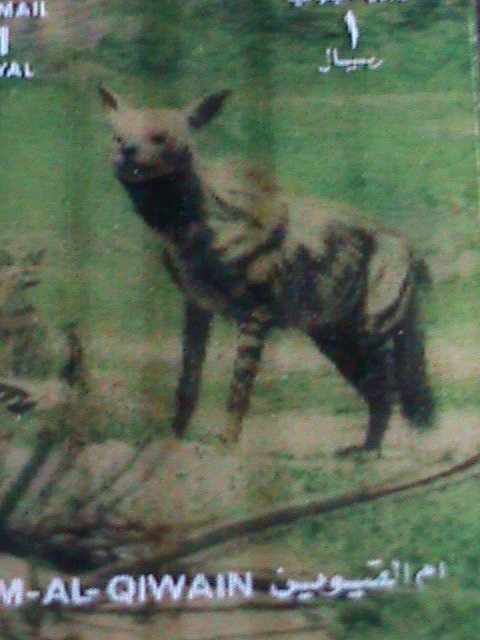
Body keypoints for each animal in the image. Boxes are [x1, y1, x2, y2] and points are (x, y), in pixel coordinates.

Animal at [99, 86, 435, 453]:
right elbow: (188, 381)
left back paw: (370, 451)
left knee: (386, 388)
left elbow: (239, 388)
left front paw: (227, 441)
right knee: (375, 389)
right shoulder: (198, 305)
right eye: (118, 137)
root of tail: (410, 246)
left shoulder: (255, 311)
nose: (127, 153)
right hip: (334, 336)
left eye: (159, 138)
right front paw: (174, 439)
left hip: (370, 328)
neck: (190, 228)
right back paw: (362, 448)